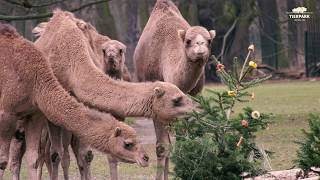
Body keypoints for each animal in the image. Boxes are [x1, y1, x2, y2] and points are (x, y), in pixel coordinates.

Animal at [0, 22, 149, 180]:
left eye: (137, 139)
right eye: (128, 144)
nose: (145, 158)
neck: (35, 80)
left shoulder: (34, 115)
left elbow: (35, 159)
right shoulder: (6, 114)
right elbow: (3, 161)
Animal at [134, 0, 216, 179]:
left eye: (209, 40)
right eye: (188, 40)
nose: (200, 47)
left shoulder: (191, 98)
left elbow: (184, 141)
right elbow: (162, 147)